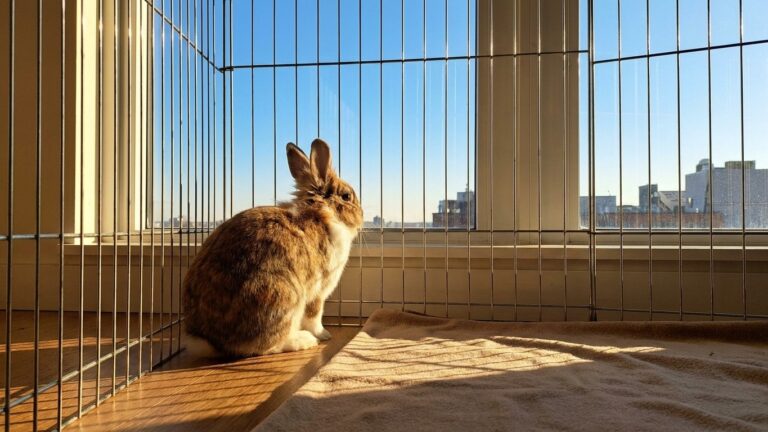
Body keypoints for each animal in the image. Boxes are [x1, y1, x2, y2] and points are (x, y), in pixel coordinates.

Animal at [182, 138, 363, 357]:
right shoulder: (318, 291)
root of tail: (210, 341)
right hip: (283, 298)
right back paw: (304, 340)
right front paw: (324, 334)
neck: (322, 211)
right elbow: (314, 315)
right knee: (267, 346)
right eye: (346, 196)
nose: (362, 218)